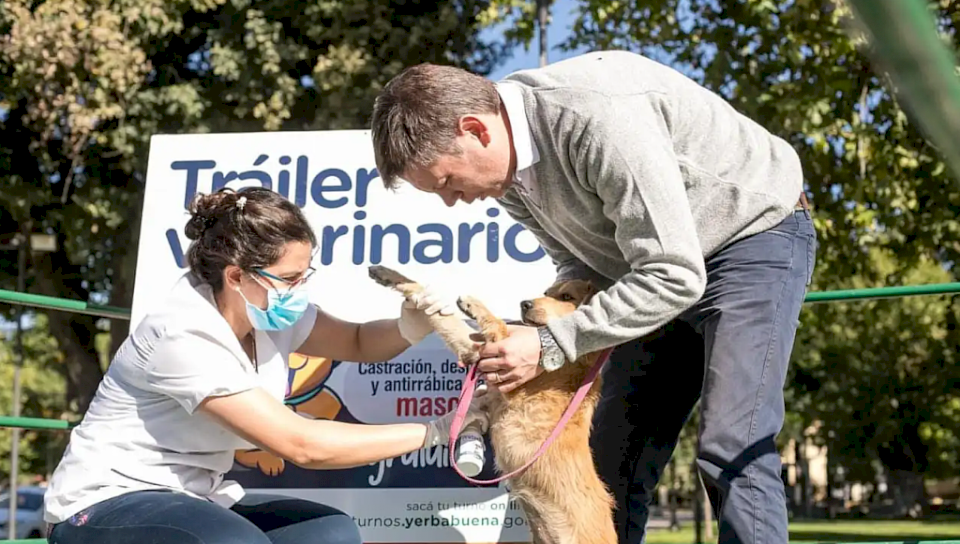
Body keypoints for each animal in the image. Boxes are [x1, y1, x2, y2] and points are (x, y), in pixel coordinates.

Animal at [368, 266, 616, 544]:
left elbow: (496, 323)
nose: (524, 303)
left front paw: (472, 304)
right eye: (546, 292)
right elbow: (445, 319)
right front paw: (392, 277)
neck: (573, 362)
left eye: (566, 296)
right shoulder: (478, 352)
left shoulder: (511, 362)